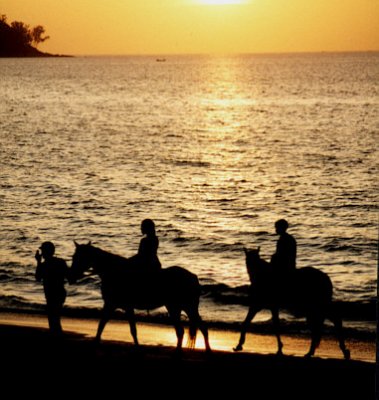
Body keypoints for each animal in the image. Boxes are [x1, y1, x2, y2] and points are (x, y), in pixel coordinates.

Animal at [70, 242, 212, 352]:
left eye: (80, 257)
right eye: (73, 257)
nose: (72, 276)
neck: (114, 271)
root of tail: (193, 277)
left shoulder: (122, 306)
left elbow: (132, 329)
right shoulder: (111, 304)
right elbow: (102, 325)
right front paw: (95, 342)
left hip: (183, 307)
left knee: (193, 329)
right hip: (179, 308)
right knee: (188, 330)